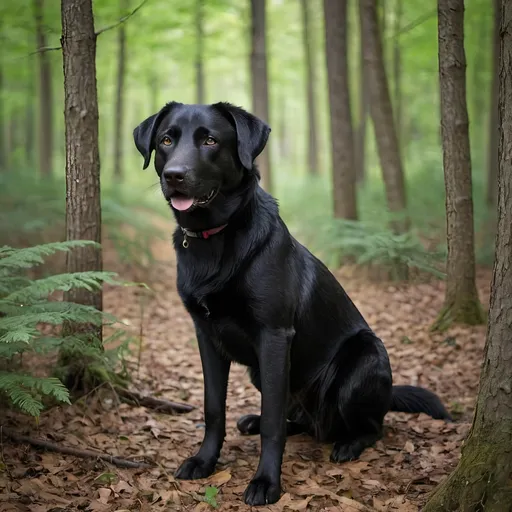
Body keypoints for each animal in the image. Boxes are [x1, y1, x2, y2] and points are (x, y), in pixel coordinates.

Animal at [133, 102, 452, 506]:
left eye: (210, 141)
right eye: (166, 140)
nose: (174, 175)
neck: (214, 237)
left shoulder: (273, 336)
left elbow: (273, 424)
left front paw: (266, 481)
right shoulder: (206, 336)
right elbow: (214, 408)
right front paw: (205, 461)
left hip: (364, 358)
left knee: (372, 425)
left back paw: (349, 444)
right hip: (265, 374)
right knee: (299, 418)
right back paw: (256, 421)